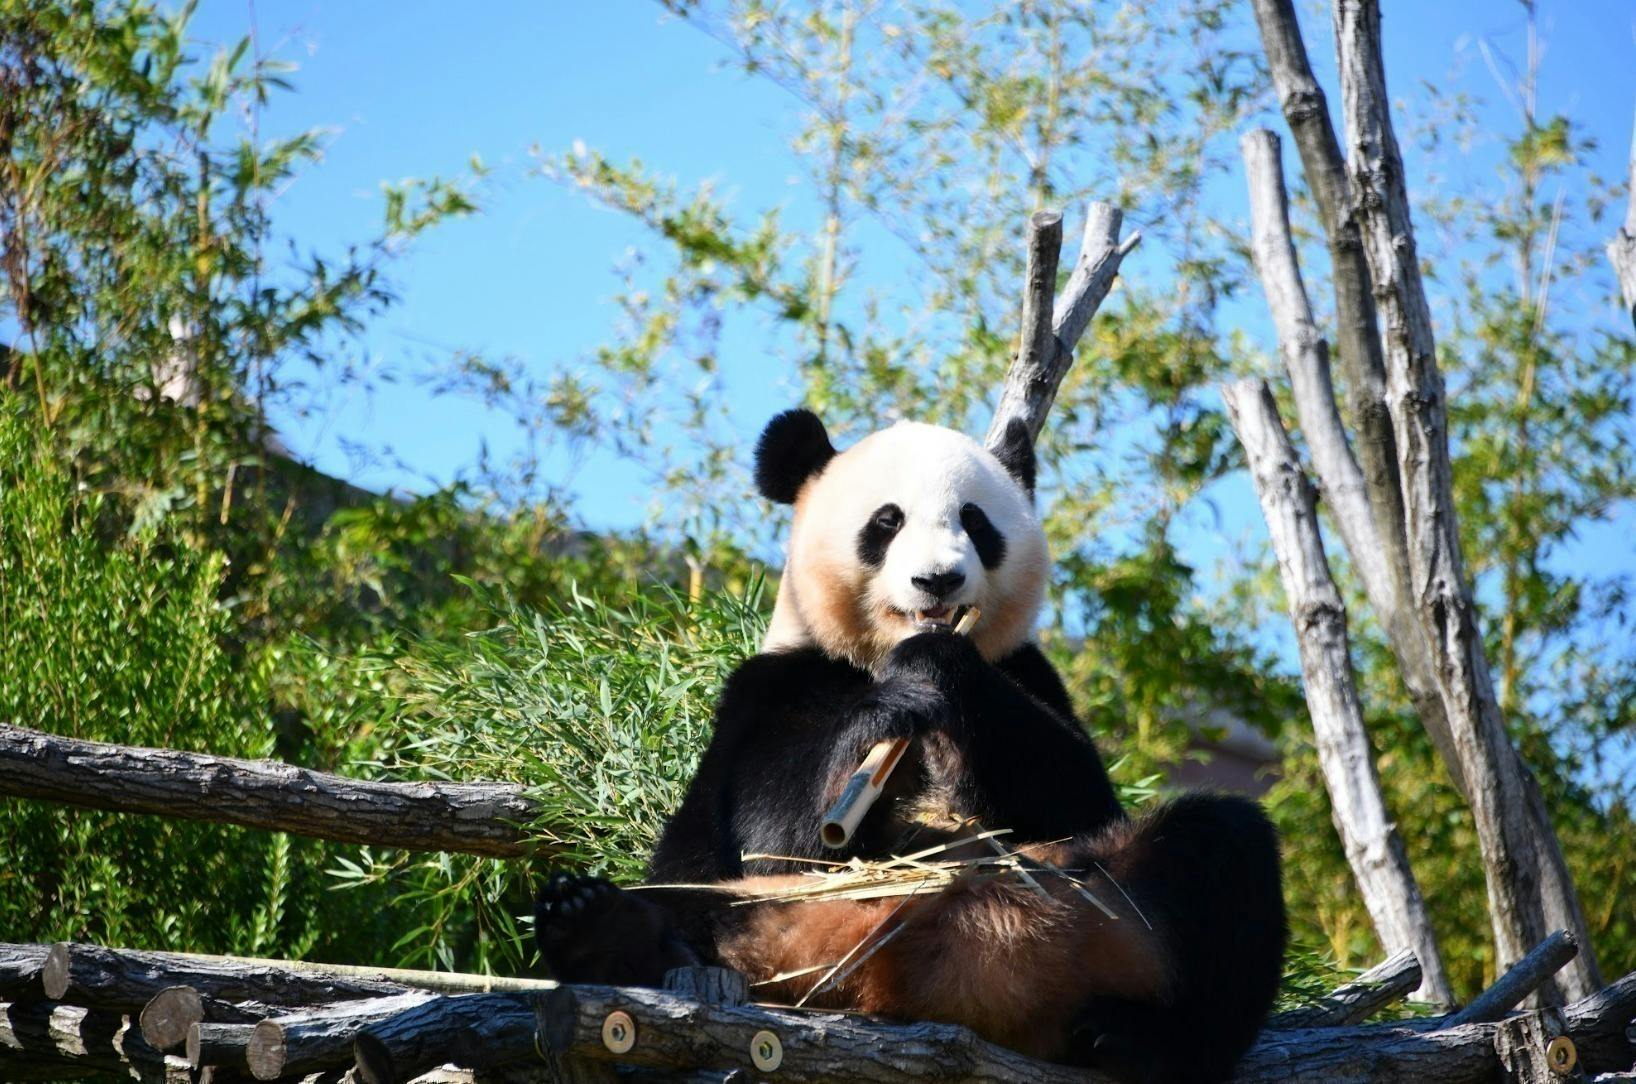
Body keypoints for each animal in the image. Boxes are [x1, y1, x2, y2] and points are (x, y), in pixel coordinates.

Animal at [539, 408, 1289, 1084]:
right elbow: (769, 833)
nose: (938, 580)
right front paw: (888, 716)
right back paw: (602, 928)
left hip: (1101, 901)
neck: (878, 656)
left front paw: (937, 667)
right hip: (763, 916)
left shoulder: (1028, 672)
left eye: (975, 523)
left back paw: (1138, 1042)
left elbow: (1077, 800)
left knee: (1218, 848)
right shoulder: (769, 693)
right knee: (685, 902)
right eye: (887, 521)